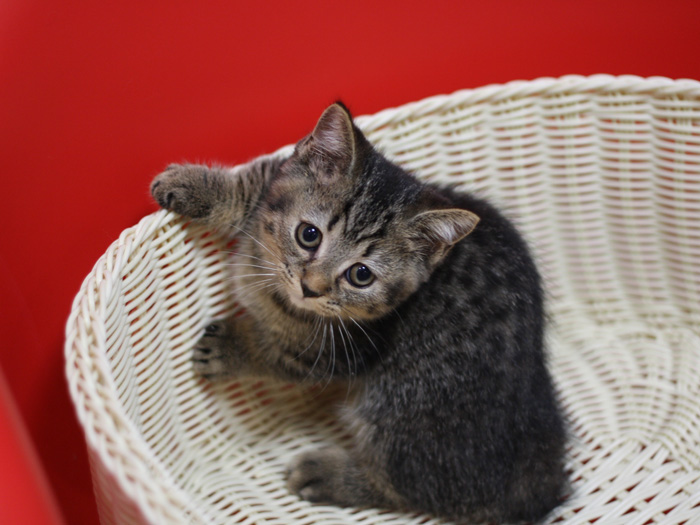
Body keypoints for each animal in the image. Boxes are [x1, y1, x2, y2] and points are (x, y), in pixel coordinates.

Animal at [150, 101, 568, 520]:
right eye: (308, 234)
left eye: (361, 275)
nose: (310, 287)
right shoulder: (279, 177)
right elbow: (254, 184)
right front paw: (194, 186)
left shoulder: (340, 353)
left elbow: (281, 355)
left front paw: (231, 348)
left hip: (399, 410)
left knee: (409, 488)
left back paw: (326, 475)